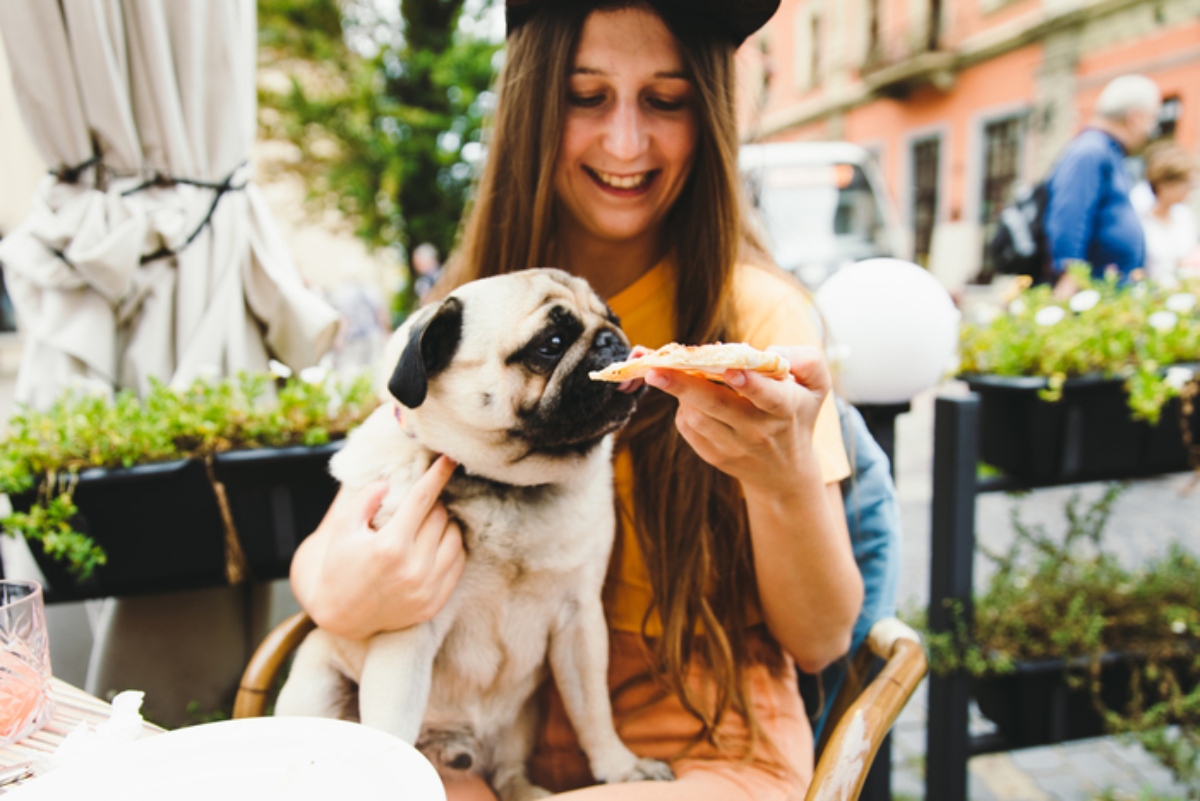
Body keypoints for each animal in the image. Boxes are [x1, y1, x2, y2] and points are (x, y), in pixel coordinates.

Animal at [274, 268, 676, 801]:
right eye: (551, 344)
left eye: (613, 319)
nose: (612, 339)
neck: (508, 488)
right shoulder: (409, 637)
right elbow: (391, 729)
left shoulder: (580, 621)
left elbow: (593, 711)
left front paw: (621, 767)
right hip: (316, 684)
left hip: (521, 723)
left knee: (508, 771)